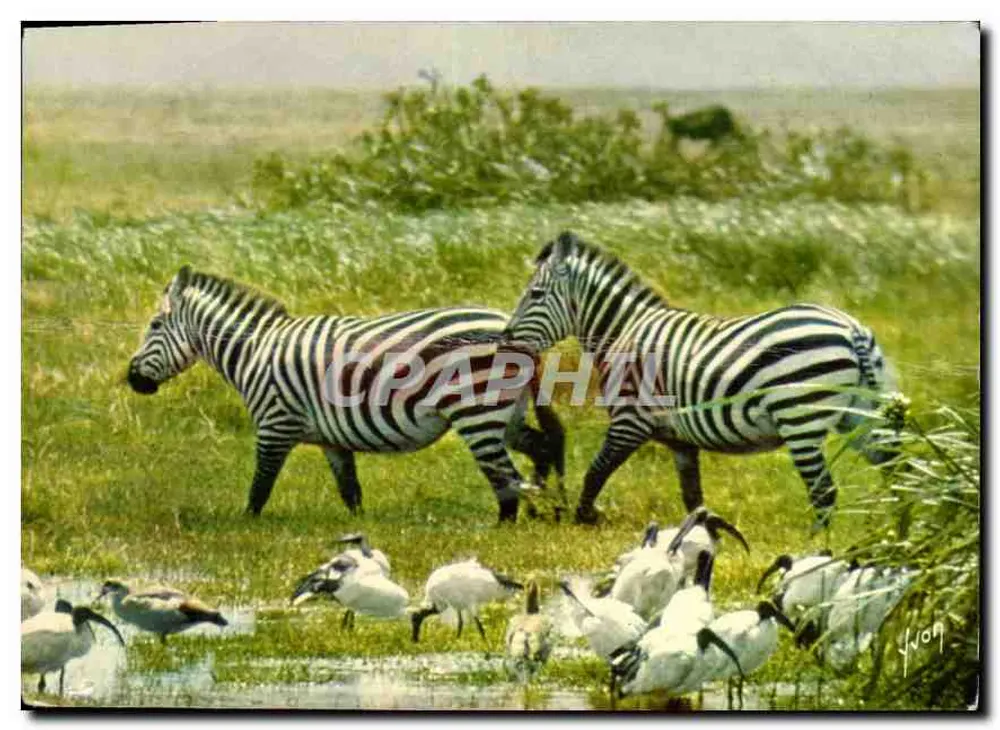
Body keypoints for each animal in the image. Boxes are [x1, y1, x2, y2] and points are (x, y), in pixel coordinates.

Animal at [126, 266, 565, 522]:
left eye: (154, 326)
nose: (132, 379)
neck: (255, 351)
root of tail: (515, 331)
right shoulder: (332, 441)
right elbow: (350, 490)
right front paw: (359, 536)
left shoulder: (274, 424)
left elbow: (260, 487)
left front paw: (245, 527)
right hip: (505, 413)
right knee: (541, 448)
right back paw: (547, 510)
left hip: (477, 410)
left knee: (504, 474)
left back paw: (507, 523)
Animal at [496, 232, 902, 530]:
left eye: (535, 294)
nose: (504, 340)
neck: (623, 331)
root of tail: (851, 329)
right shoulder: (681, 441)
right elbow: (693, 498)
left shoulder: (630, 420)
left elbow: (596, 471)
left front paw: (585, 519)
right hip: (860, 416)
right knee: (896, 471)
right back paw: (897, 533)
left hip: (799, 417)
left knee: (824, 492)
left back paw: (818, 545)